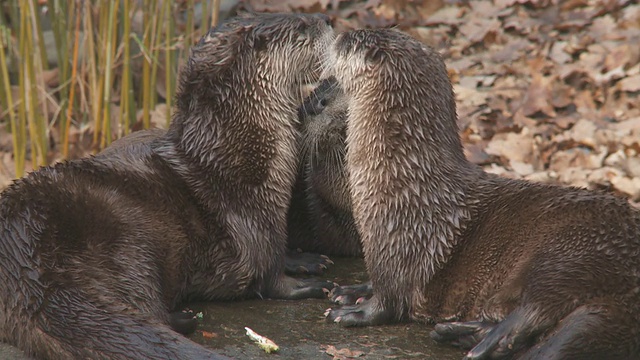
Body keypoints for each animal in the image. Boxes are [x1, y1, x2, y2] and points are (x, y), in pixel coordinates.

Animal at [1, 11, 336, 360]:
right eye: (302, 26)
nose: (328, 18)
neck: (240, 160)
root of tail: (23, 262)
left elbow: (281, 250)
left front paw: (305, 259)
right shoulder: (250, 225)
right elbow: (266, 275)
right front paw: (305, 286)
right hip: (128, 245)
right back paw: (183, 318)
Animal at [322, 28, 640, 360]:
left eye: (349, 42)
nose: (336, 34)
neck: (400, 176)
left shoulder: (398, 245)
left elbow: (388, 300)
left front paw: (357, 313)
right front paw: (351, 290)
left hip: (569, 252)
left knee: (536, 308)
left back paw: (479, 342)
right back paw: (459, 332)